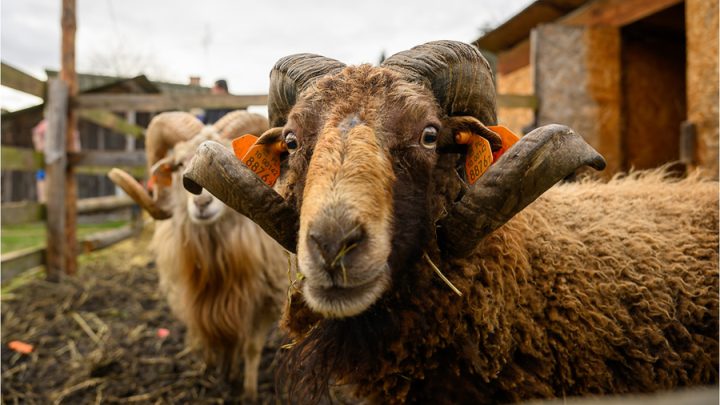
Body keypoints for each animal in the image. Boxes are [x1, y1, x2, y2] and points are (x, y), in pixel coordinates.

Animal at [108, 109, 288, 400]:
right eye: (180, 164)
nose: (202, 202)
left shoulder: (263, 302)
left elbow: (251, 347)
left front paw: (248, 392)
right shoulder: (200, 302)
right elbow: (211, 338)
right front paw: (215, 372)